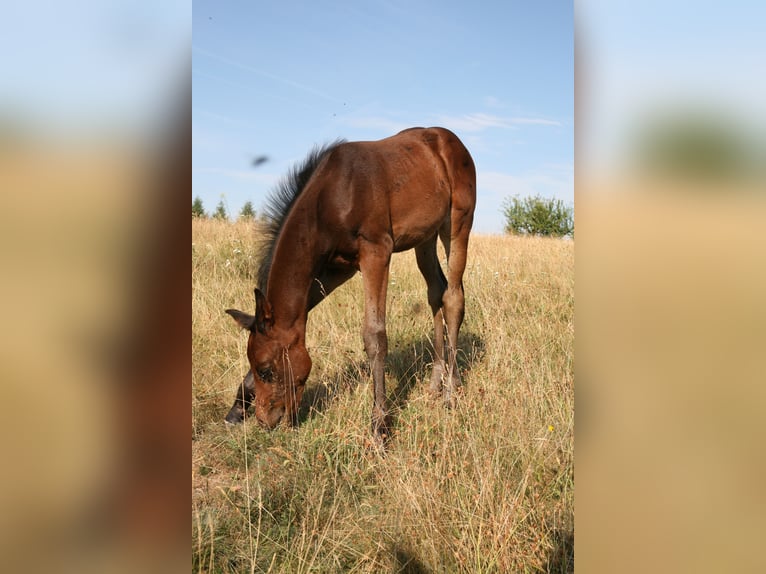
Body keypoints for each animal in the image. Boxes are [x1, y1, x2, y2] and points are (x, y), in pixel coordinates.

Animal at [225, 127, 476, 438]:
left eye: (267, 370)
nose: (264, 420)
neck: (331, 197)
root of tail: (451, 139)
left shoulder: (376, 252)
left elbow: (374, 335)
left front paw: (379, 425)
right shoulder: (336, 269)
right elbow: (298, 317)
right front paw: (237, 407)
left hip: (458, 224)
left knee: (453, 297)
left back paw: (450, 394)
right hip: (424, 238)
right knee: (436, 292)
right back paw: (437, 383)